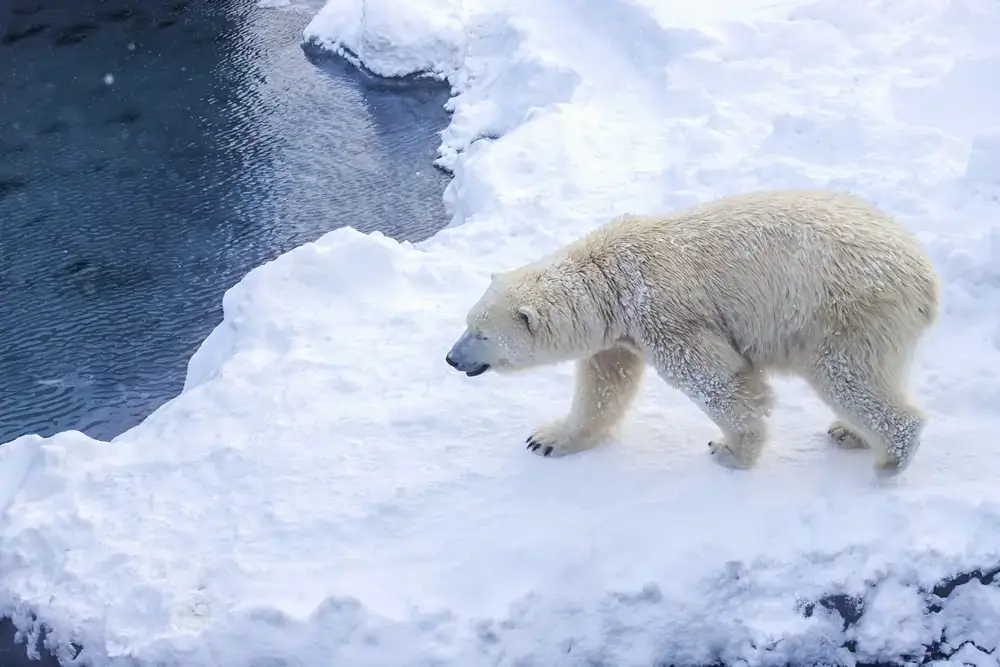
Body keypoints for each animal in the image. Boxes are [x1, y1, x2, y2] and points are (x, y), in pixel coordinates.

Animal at [444, 190, 936, 478]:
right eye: (467, 322)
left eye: (480, 333)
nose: (451, 358)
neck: (611, 280)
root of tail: (927, 278)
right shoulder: (620, 336)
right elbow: (603, 388)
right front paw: (547, 439)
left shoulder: (665, 314)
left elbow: (720, 381)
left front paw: (730, 450)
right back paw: (849, 433)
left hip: (845, 312)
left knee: (847, 377)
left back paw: (890, 458)